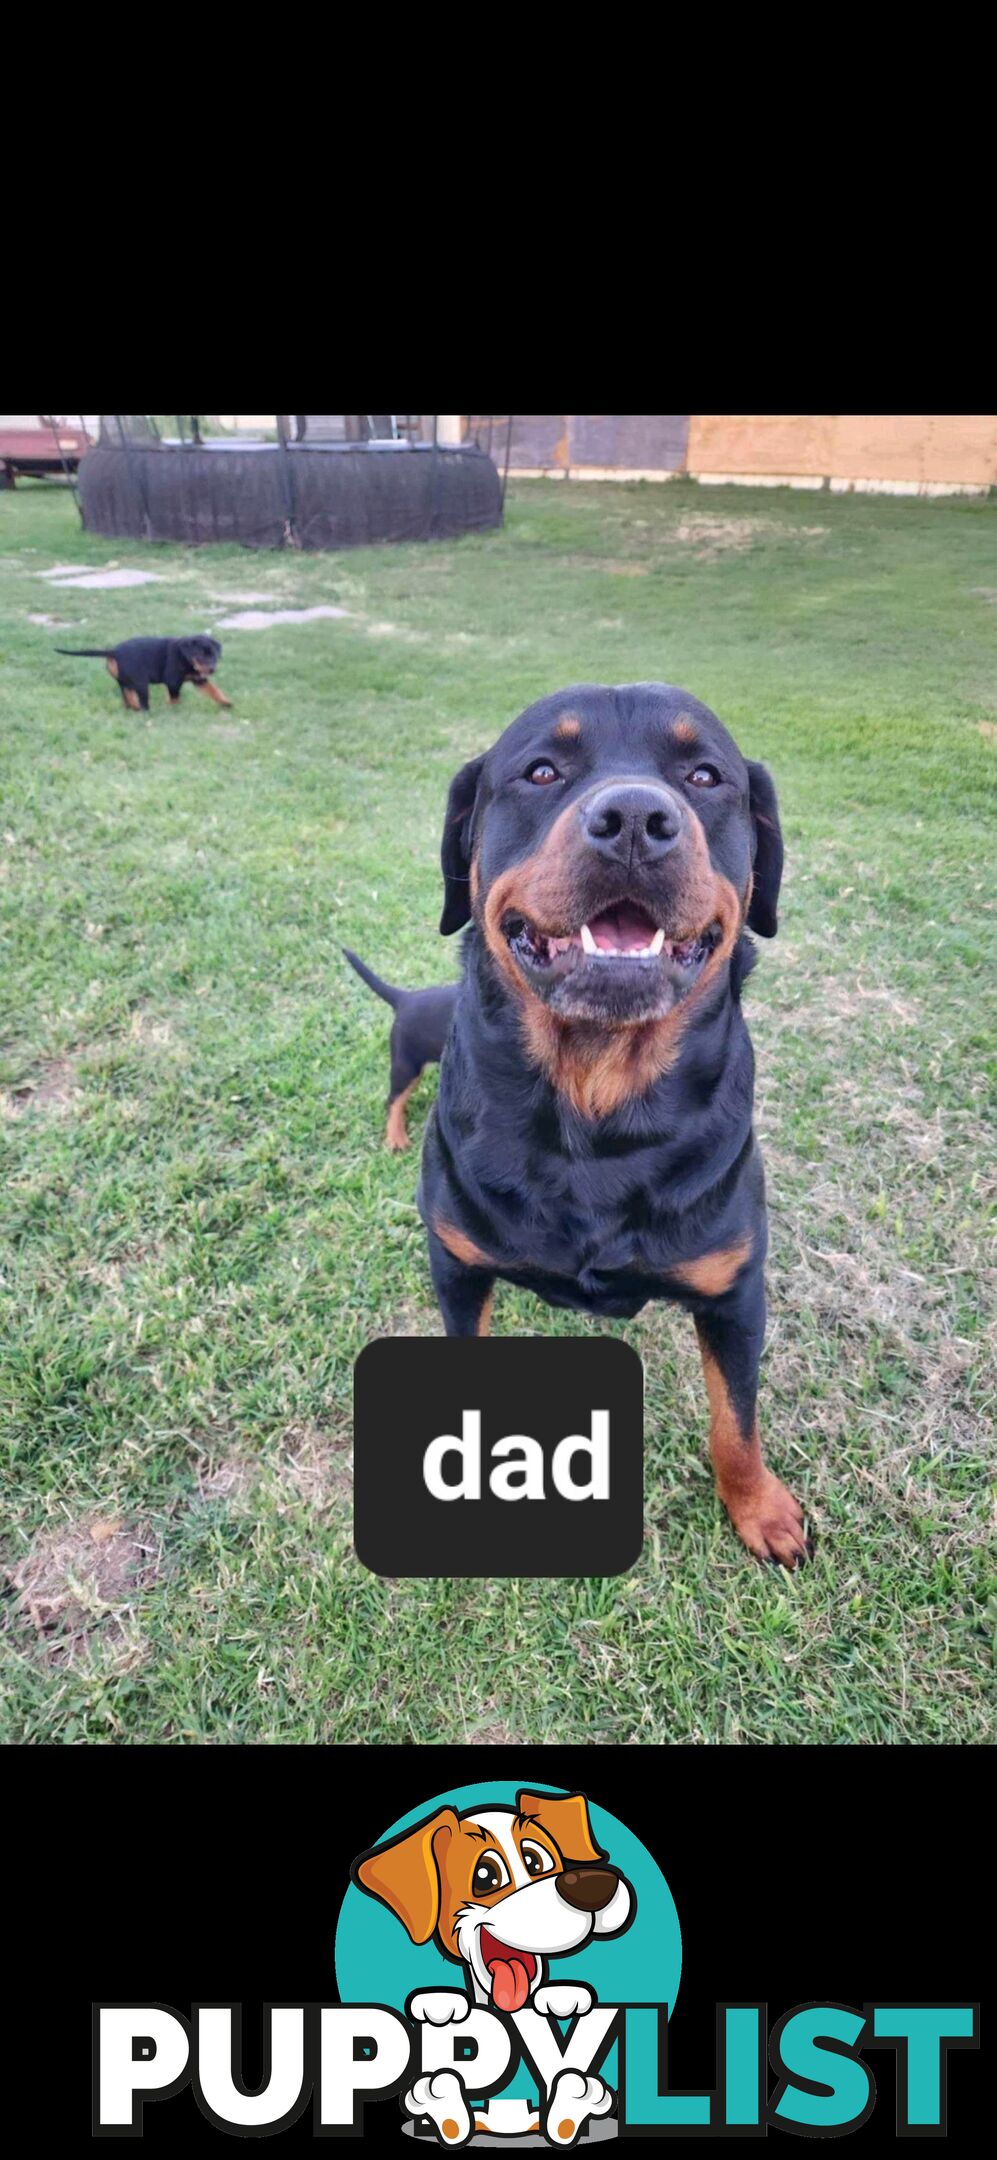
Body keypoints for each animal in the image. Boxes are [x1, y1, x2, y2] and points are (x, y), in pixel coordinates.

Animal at [56, 630, 231, 717]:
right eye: (201, 655)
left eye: (215, 655)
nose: (212, 669)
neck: (185, 657)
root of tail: (114, 652)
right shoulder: (173, 681)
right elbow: (175, 698)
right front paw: (173, 709)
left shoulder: (199, 680)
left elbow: (214, 690)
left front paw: (226, 703)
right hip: (141, 683)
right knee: (142, 702)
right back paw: (147, 713)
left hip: (125, 681)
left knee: (127, 697)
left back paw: (133, 709)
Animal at [414, 678, 811, 1572]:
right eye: (540, 770)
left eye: (703, 776)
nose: (633, 817)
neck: (594, 1108)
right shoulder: (456, 1265)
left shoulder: (735, 1292)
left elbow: (736, 1419)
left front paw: (758, 1508)